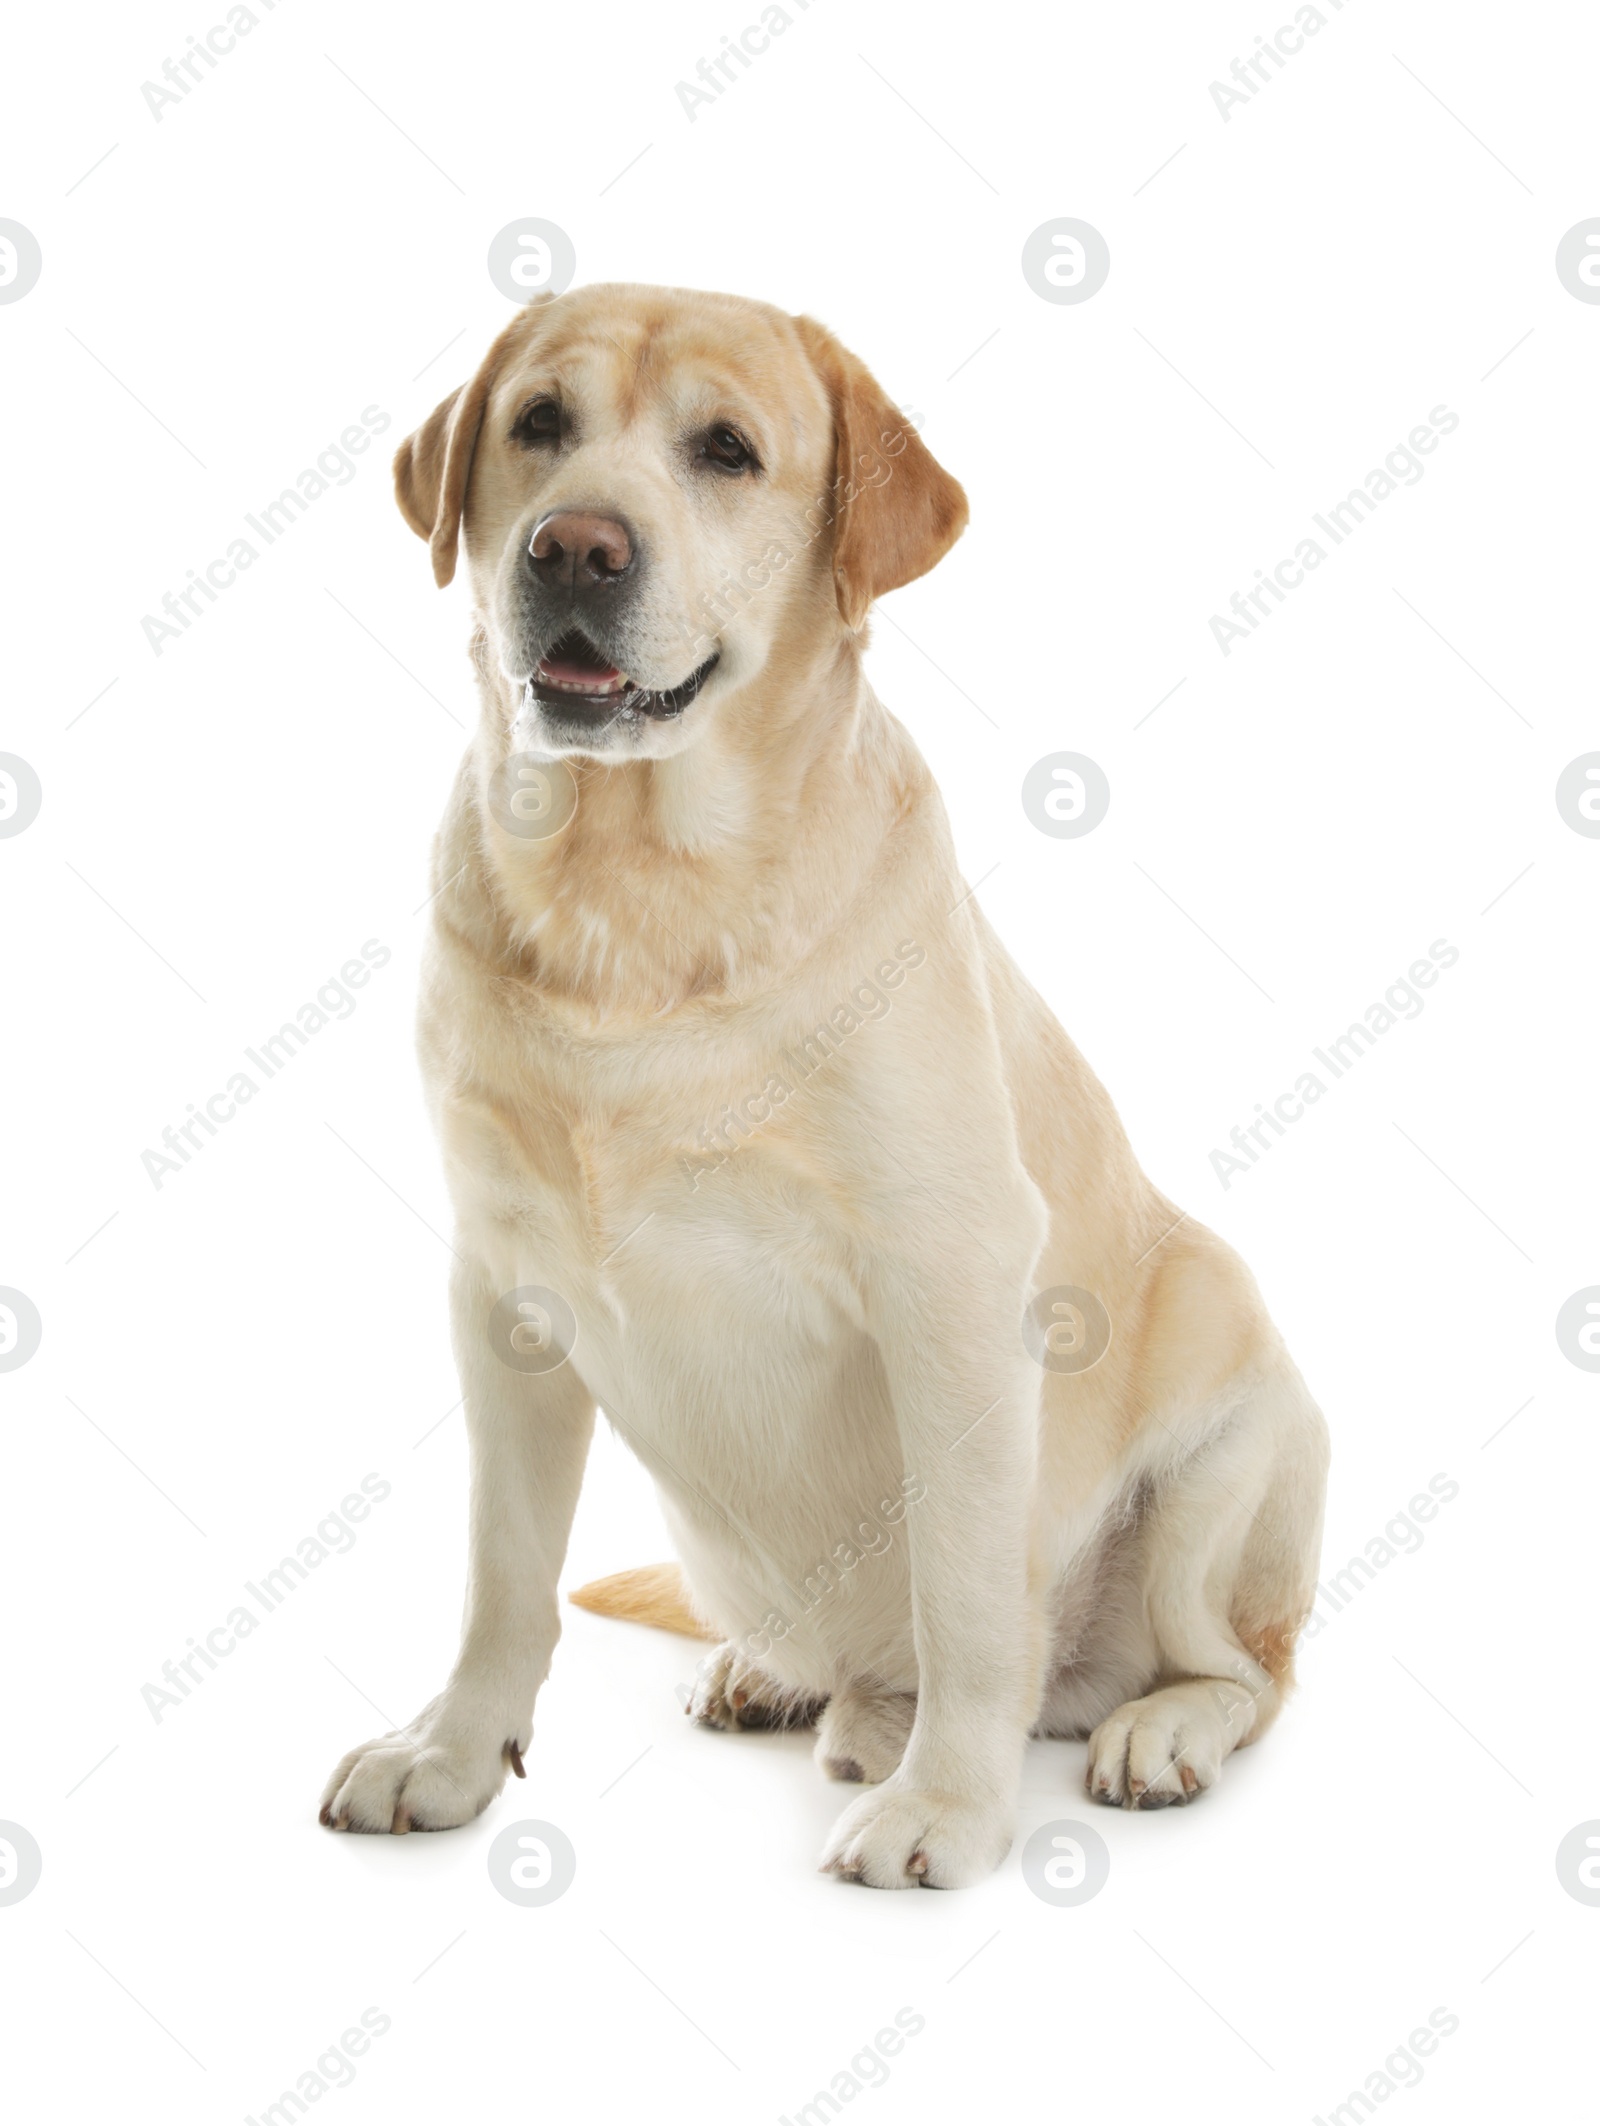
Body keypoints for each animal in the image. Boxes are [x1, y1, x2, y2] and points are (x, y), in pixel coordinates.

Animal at [314, 287, 1325, 1896]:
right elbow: (502, 1572)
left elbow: (969, 1594)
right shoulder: (501, 1294)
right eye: (538, 422)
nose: (573, 547)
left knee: (1235, 1668)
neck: (635, 899)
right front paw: (452, 1751)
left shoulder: (951, 1281)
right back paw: (800, 1688)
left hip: (1224, 1451)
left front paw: (948, 1809)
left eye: (727, 450)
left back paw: (1142, 1729)